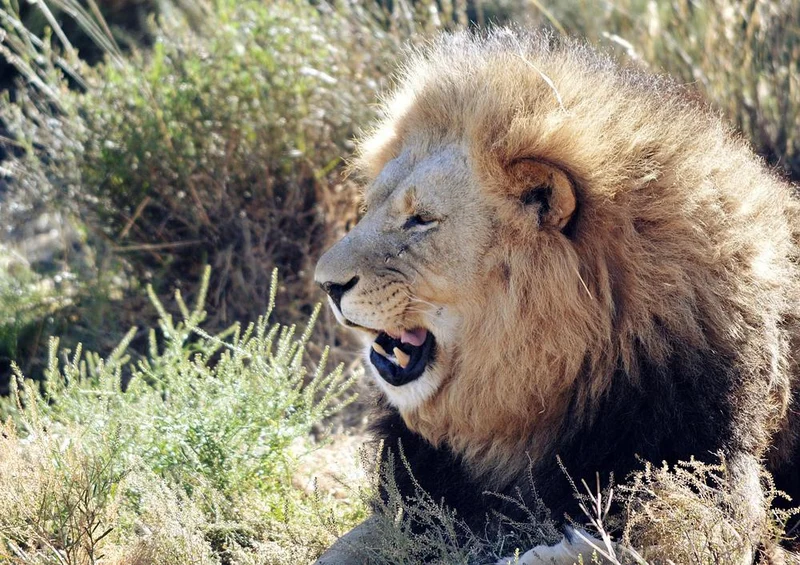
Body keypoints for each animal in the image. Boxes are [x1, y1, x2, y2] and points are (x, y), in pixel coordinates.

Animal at [313, 29, 800, 564]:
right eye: (371, 207)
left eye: (421, 220)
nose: (326, 285)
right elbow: (340, 548)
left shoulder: (719, 498)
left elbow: (602, 545)